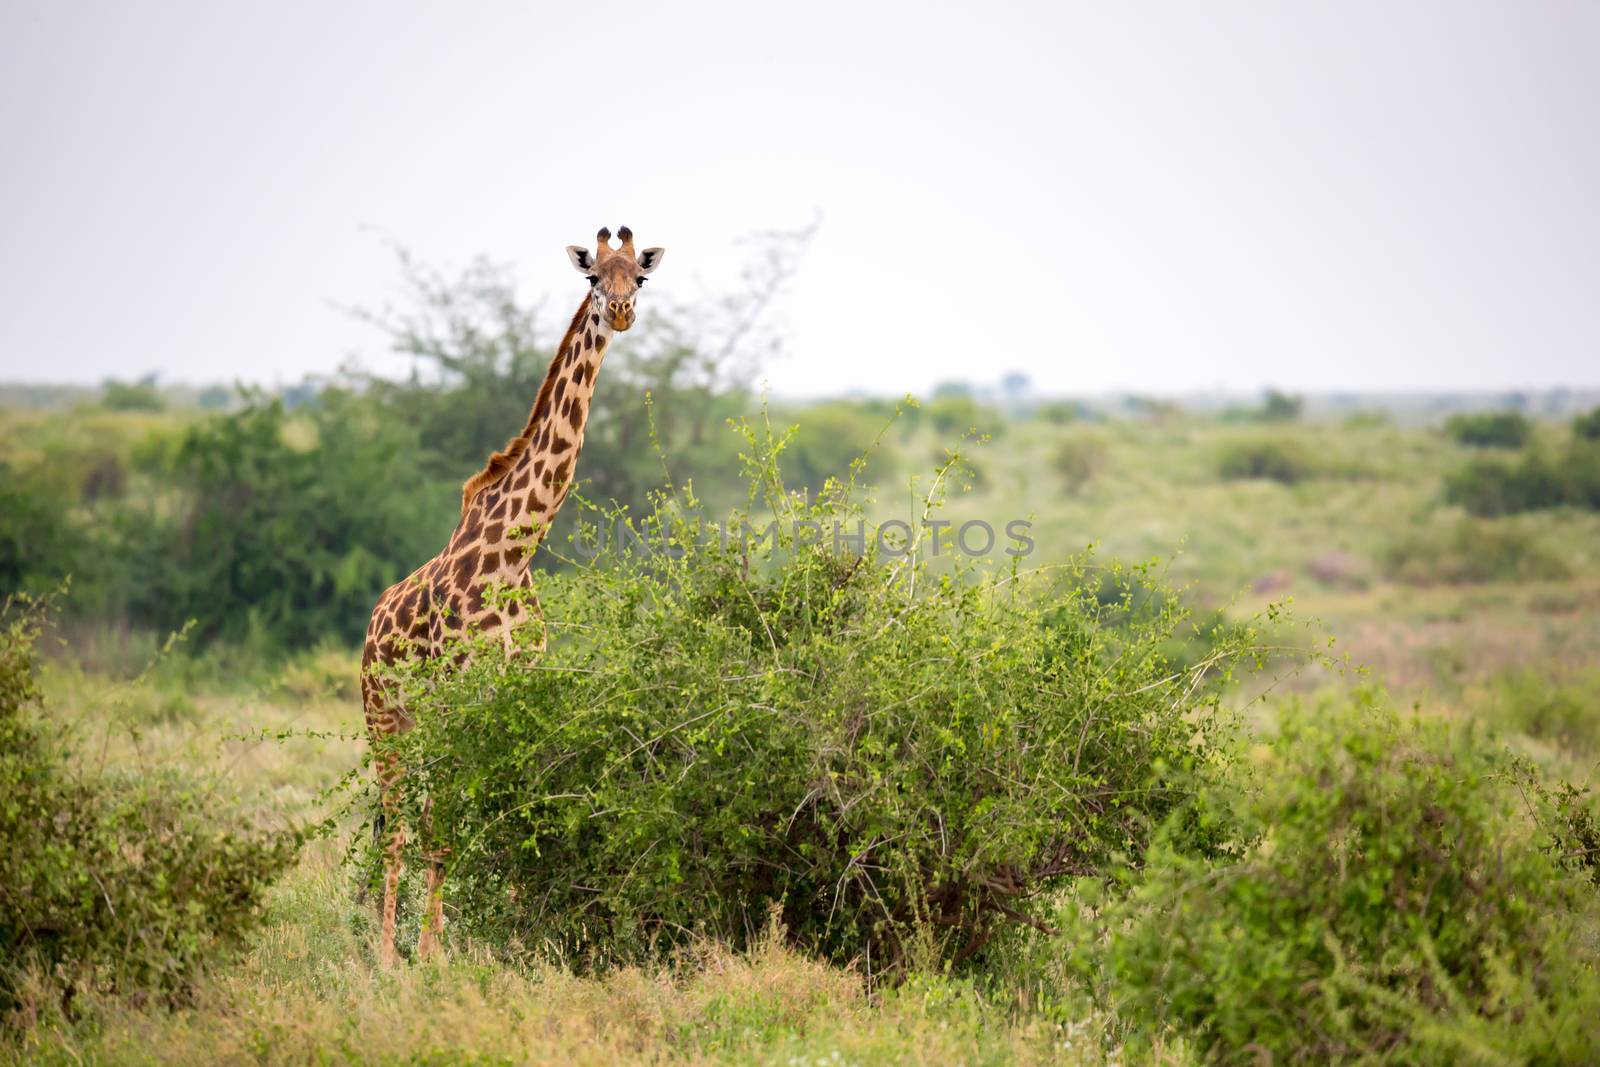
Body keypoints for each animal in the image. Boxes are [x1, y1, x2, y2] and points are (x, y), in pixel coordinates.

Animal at [363, 225, 662, 966]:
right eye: (593, 279)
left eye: (638, 279)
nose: (620, 313)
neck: (515, 551)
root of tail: (369, 629)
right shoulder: (456, 696)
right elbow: (441, 830)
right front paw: (430, 957)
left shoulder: (517, 691)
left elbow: (513, 812)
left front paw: (520, 947)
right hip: (386, 718)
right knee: (399, 828)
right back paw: (385, 956)